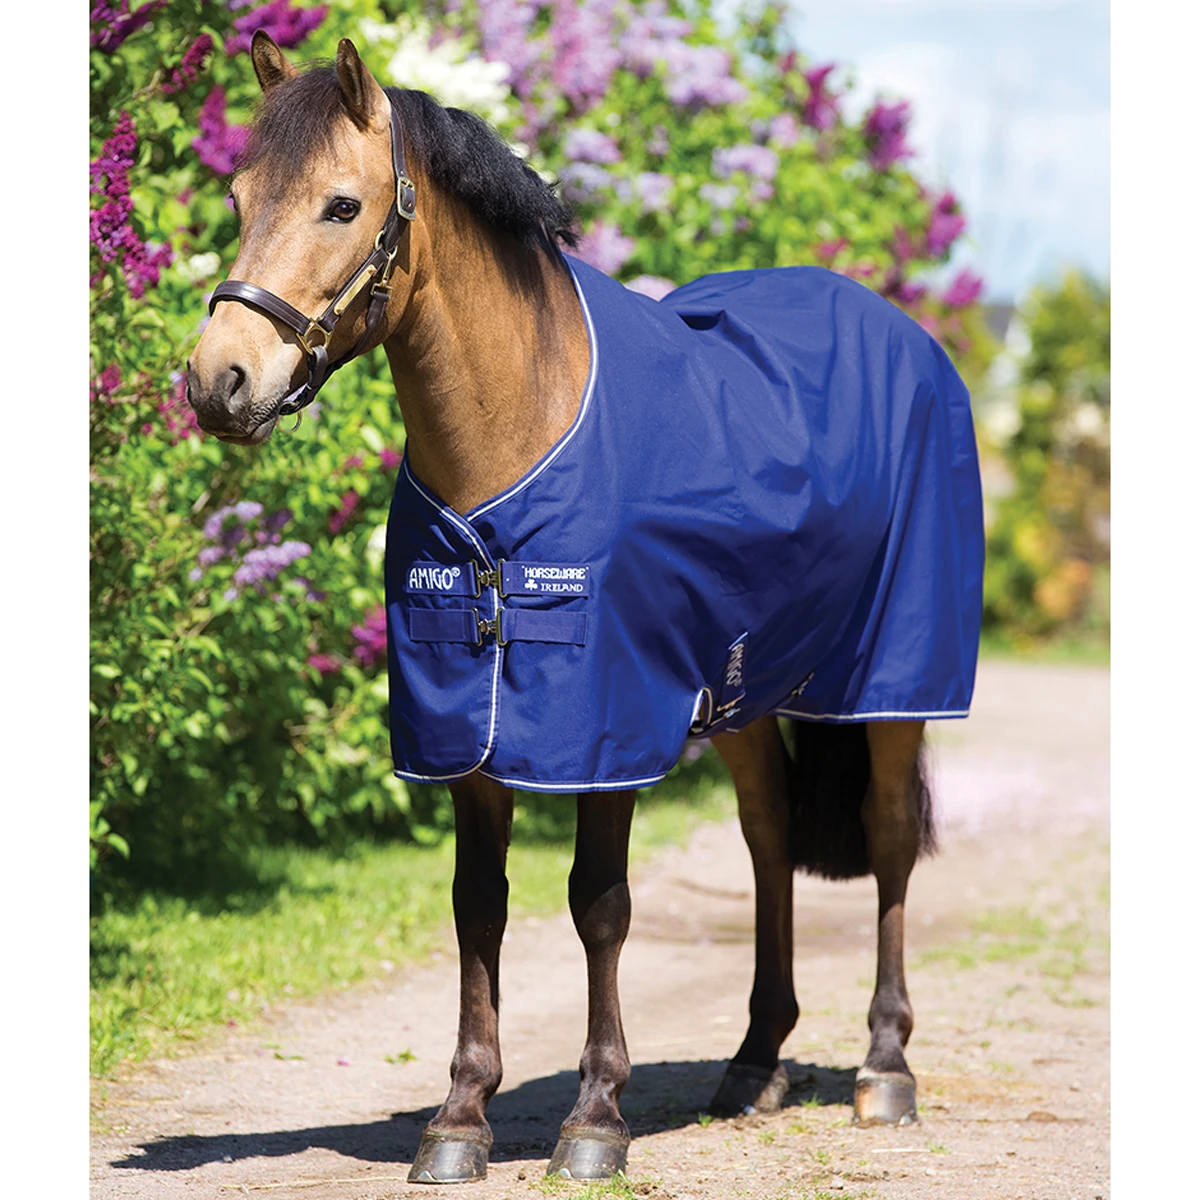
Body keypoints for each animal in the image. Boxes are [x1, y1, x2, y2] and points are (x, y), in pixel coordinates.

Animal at [188, 32, 983, 1185]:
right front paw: (458, 1118)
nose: (220, 381)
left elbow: (598, 904)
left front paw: (596, 1117)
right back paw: (755, 1062)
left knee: (883, 841)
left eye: (341, 205)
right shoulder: (467, 726)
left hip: (891, 685)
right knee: (769, 836)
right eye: (239, 198)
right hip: (739, 693)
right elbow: (479, 906)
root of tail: (905, 336)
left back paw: (885, 1068)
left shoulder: (605, 724)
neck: (519, 431)